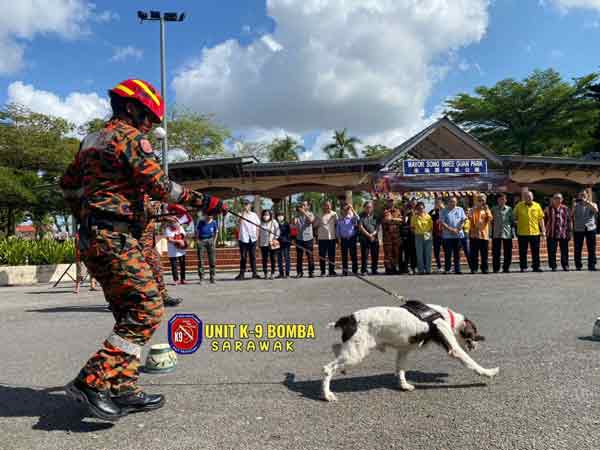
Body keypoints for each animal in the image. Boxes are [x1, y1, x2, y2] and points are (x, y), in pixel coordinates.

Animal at [322, 300, 500, 402]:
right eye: (474, 333)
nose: (478, 343)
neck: (445, 316)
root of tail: (349, 318)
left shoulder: (403, 350)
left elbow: (401, 370)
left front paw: (404, 385)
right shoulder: (454, 349)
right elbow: (472, 363)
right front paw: (488, 372)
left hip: (353, 350)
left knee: (335, 347)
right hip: (355, 354)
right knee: (327, 368)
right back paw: (327, 395)